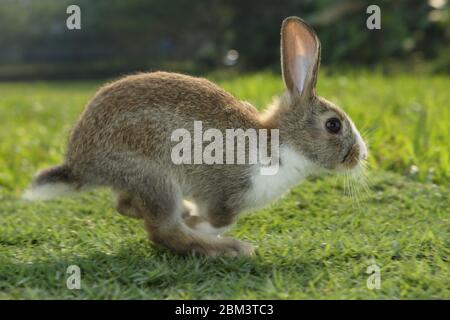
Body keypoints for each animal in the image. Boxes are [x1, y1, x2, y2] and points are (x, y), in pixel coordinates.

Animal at [22, 16, 368, 258]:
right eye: (333, 125)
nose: (360, 155)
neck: (280, 142)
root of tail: (80, 164)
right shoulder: (224, 195)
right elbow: (218, 221)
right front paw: (202, 228)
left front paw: (192, 218)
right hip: (155, 176)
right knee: (162, 231)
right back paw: (230, 249)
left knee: (126, 207)